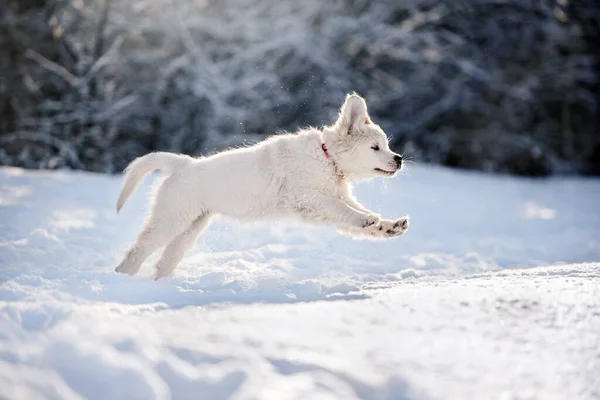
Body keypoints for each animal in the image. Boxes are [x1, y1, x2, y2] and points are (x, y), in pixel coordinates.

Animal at [115, 94, 410, 280]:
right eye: (375, 148)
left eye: (386, 145)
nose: (398, 159)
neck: (328, 158)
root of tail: (183, 164)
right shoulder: (308, 198)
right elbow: (342, 209)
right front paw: (367, 219)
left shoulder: (330, 199)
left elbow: (351, 213)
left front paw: (388, 226)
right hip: (171, 220)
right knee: (136, 252)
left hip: (189, 229)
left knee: (164, 260)